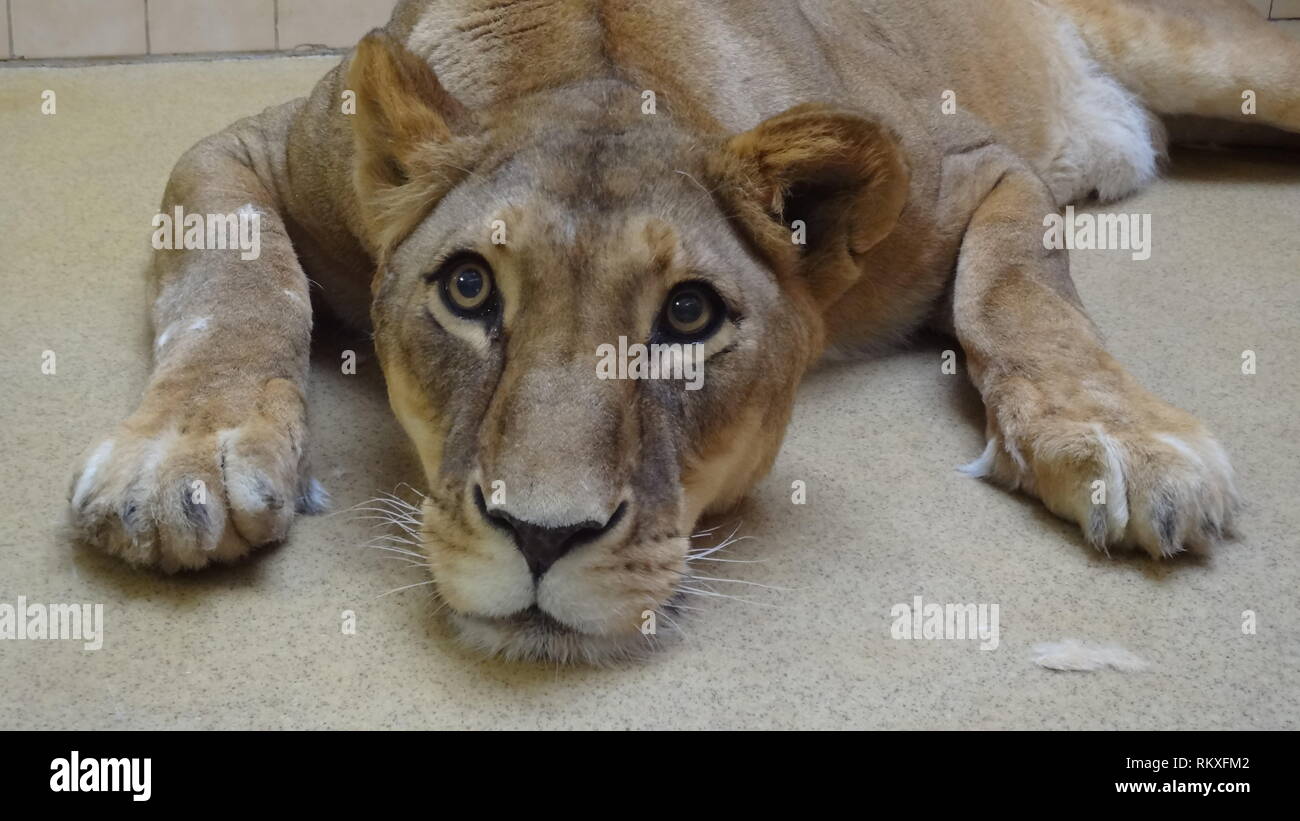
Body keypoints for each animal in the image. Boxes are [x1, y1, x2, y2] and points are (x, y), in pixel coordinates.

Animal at [67, 0, 1299, 662]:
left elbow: (1021, 295)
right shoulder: (249, 148)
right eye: (467, 289)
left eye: (688, 314)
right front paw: (183, 464)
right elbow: (238, 281)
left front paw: (1125, 443)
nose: (543, 537)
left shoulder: (974, 168)